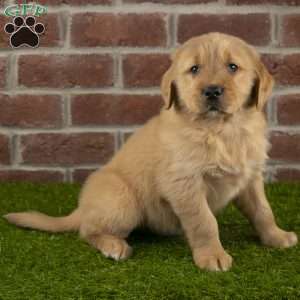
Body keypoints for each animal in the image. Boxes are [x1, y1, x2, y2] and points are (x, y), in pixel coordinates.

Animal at [4, 32, 298, 272]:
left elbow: (263, 210)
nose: (212, 90)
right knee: (87, 230)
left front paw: (277, 236)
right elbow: (204, 221)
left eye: (233, 66)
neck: (221, 130)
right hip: (121, 201)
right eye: (194, 69)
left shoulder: (250, 177)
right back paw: (114, 246)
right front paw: (211, 256)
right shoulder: (184, 182)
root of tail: (82, 208)